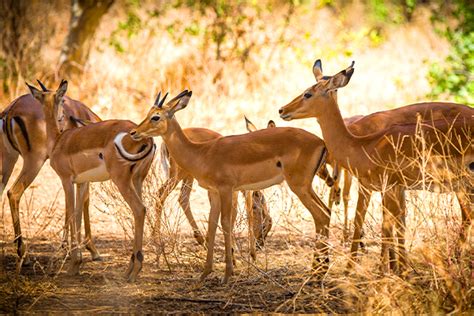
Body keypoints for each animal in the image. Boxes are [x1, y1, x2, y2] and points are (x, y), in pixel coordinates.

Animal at [1, 82, 101, 260]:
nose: (63, 121)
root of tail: (11, 110)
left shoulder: (70, 176)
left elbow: (70, 204)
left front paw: (67, 247)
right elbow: (83, 202)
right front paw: (90, 249)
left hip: (7, 160)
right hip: (34, 162)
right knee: (13, 193)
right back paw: (22, 252)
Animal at [26, 81, 156, 282]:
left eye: (62, 99)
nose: (63, 116)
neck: (59, 140)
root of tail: (145, 137)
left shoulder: (66, 180)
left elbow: (71, 214)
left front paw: (73, 265)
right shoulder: (82, 182)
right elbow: (78, 214)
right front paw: (77, 263)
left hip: (122, 180)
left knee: (139, 209)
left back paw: (134, 271)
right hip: (138, 180)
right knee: (141, 210)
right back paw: (129, 269)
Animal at [131, 89, 332, 284]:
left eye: (156, 116)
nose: (134, 132)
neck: (202, 152)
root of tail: (321, 142)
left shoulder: (227, 190)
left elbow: (227, 222)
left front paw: (228, 273)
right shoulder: (215, 192)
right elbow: (212, 225)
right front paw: (205, 273)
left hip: (298, 186)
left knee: (320, 215)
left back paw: (316, 273)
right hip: (304, 187)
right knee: (326, 212)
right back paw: (319, 271)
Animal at [280, 60, 472, 272]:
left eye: (308, 93)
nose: (282, 110)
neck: (364, 144)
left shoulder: (383, 188)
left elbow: (377, 224)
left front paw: (369, 270)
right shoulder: (393, 189)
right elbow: (395, 225)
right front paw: (397, 269)